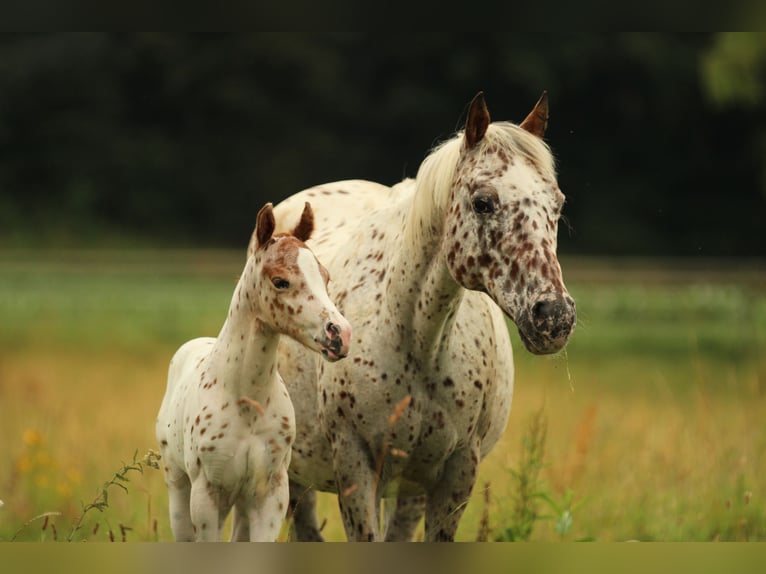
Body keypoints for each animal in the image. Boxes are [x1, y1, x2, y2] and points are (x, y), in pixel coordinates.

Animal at [156, 202, 352, 541]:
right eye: (280, 281)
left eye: (325, 277)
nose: (340, 335)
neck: (247, 400)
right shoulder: (206, 494)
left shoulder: (270, 495)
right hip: (179, 488)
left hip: (241, 503)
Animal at [264, 92, 576, 541]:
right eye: (483, 202)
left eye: (557, 203)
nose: (553, 317)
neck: (418, 339)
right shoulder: (356, 468)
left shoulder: (455, 472)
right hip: (295, 474)